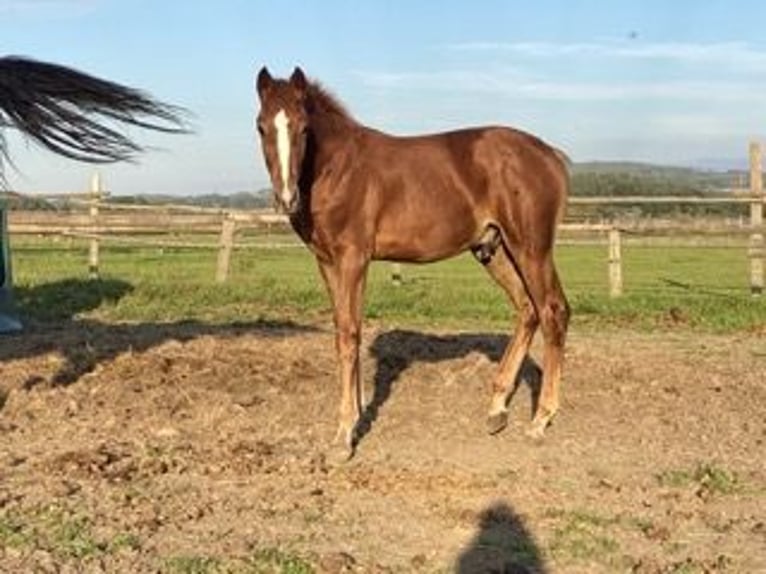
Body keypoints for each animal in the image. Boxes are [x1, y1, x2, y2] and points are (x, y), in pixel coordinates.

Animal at [255, 66, 570, 458]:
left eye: (303, 128)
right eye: (261, 126)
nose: (287, 198)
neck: (337, 168)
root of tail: (551, 155)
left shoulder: (353, 258)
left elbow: (349, 334)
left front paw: (344, 434)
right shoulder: (326, 261)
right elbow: (344, 329)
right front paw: (356, 414)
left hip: (531, 248)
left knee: (553, 311)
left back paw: (540, 420)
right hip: (494, 250)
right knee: (528, 309)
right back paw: (497, 410)